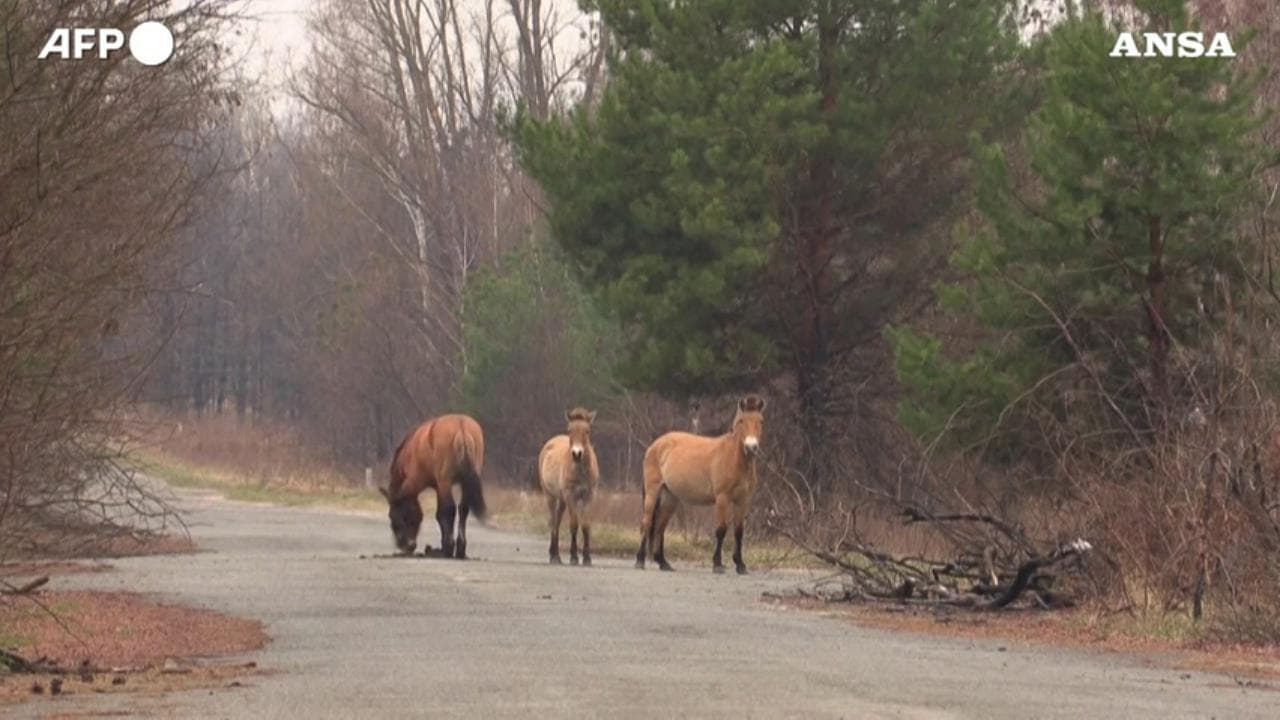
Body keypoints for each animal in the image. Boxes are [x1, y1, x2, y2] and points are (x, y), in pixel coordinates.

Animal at [379, 414, 487, 559]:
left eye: (392, 516)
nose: (407, 546)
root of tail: (461, 427)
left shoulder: (428, 483)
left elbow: (441, 514)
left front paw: (443, 547)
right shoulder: (438, 487)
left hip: (445, 481)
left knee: (450, 509)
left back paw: (448, 549)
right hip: (464, 482)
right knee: (463, 508)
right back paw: (460, 550)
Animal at [538, 408, 599, 566]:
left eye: (587, 431)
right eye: (570, 430)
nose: (577, 454)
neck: (580, 470)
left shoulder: (588, 496)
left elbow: (586, 526)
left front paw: (587, 558)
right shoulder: (571, 496)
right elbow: (574, 524)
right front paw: (574, 557)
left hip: (562, 500)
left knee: (558, 521)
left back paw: (557, 556)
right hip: (550, 496)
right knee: (553, 521)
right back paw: (553, 556)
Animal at [635, 394, 765, 574]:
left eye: (761, 421)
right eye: (741, 421)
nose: (751, 447)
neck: (734, 458)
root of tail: (655, 445)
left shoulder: (742, 500)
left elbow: (739, 532)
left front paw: (740, 565)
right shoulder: (722, 498)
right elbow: (721, 529)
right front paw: (717, 564)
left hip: (670, 498)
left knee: (660, 526)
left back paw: (663, 563)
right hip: (652, 493)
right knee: (647, 523)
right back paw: (640, 561)